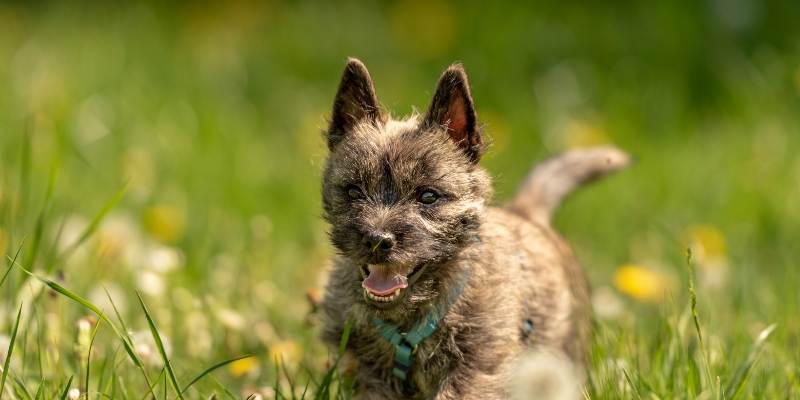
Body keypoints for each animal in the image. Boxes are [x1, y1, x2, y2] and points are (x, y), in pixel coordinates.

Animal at [318, 57, 632, 398]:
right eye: (353, 191)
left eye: (428, 196)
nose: (377, 240)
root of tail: (525, 212)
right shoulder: (367, 372)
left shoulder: (478, 367)